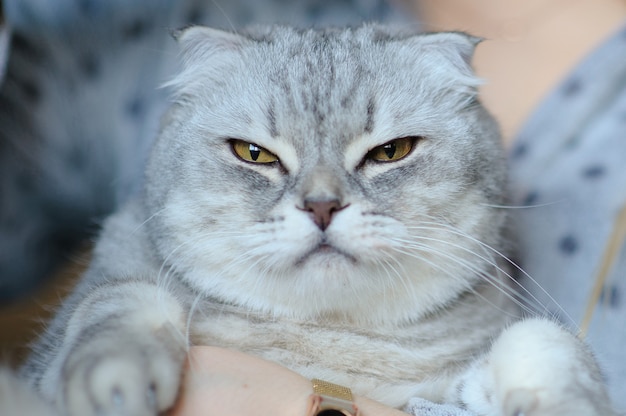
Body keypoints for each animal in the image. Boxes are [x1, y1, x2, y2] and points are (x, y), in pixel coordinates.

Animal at [19, 25, 616, 416]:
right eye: (255, 154)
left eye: (391, 152)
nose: (323, 206)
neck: (326, 340)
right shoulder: (47, 356)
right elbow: (120, 297)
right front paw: (113, 380)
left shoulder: (449, 390)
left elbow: (542, 338)